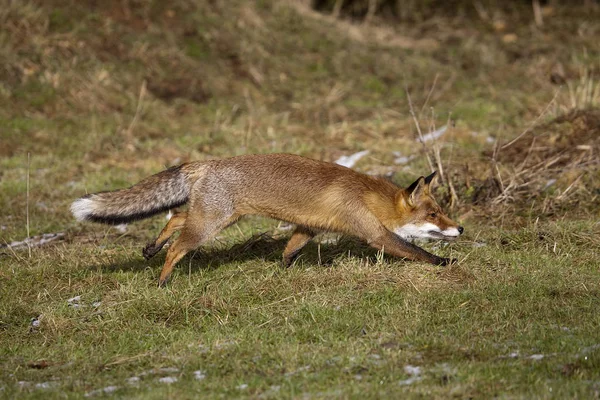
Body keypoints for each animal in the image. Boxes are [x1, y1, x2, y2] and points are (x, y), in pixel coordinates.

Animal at [71, 152, 464, 286]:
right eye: (434, 214)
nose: (459, 227)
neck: (366, 195)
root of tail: (206, 162)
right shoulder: (373, 233)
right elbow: (414, 250)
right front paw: (445, 262)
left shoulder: (309, 227)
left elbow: (290, 251)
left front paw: (285, 271)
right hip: (211, 225)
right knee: (178, 246)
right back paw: (162, 280)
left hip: (218, 218)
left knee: (177, 216)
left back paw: (151, 247)